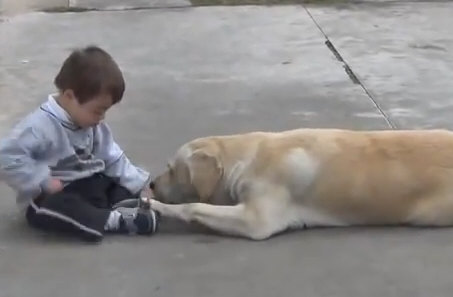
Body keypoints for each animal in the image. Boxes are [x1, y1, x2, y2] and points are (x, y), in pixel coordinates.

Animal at [149, 128, 453, 239]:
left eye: (171, 169)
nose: (151, 184)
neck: (247, 156)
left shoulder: (257, 220)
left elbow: (193, 206)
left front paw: (156, 206)